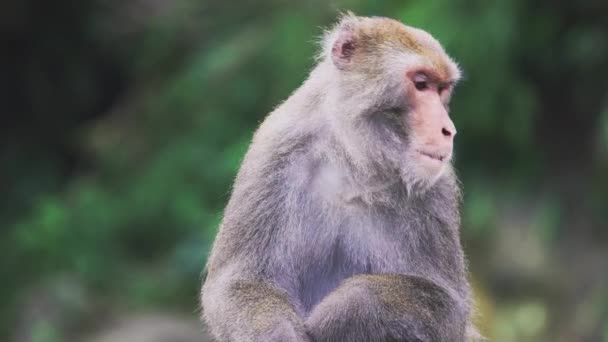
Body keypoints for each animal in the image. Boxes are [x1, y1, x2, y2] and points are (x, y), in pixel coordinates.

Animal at [202, 13, 478, 342]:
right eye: (421, 84)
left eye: (442, 89)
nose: (448, 130)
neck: (352, 158)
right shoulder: (273, 153)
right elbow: (240, 283)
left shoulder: (438, 185)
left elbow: (449, 308)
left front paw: (347, 309)